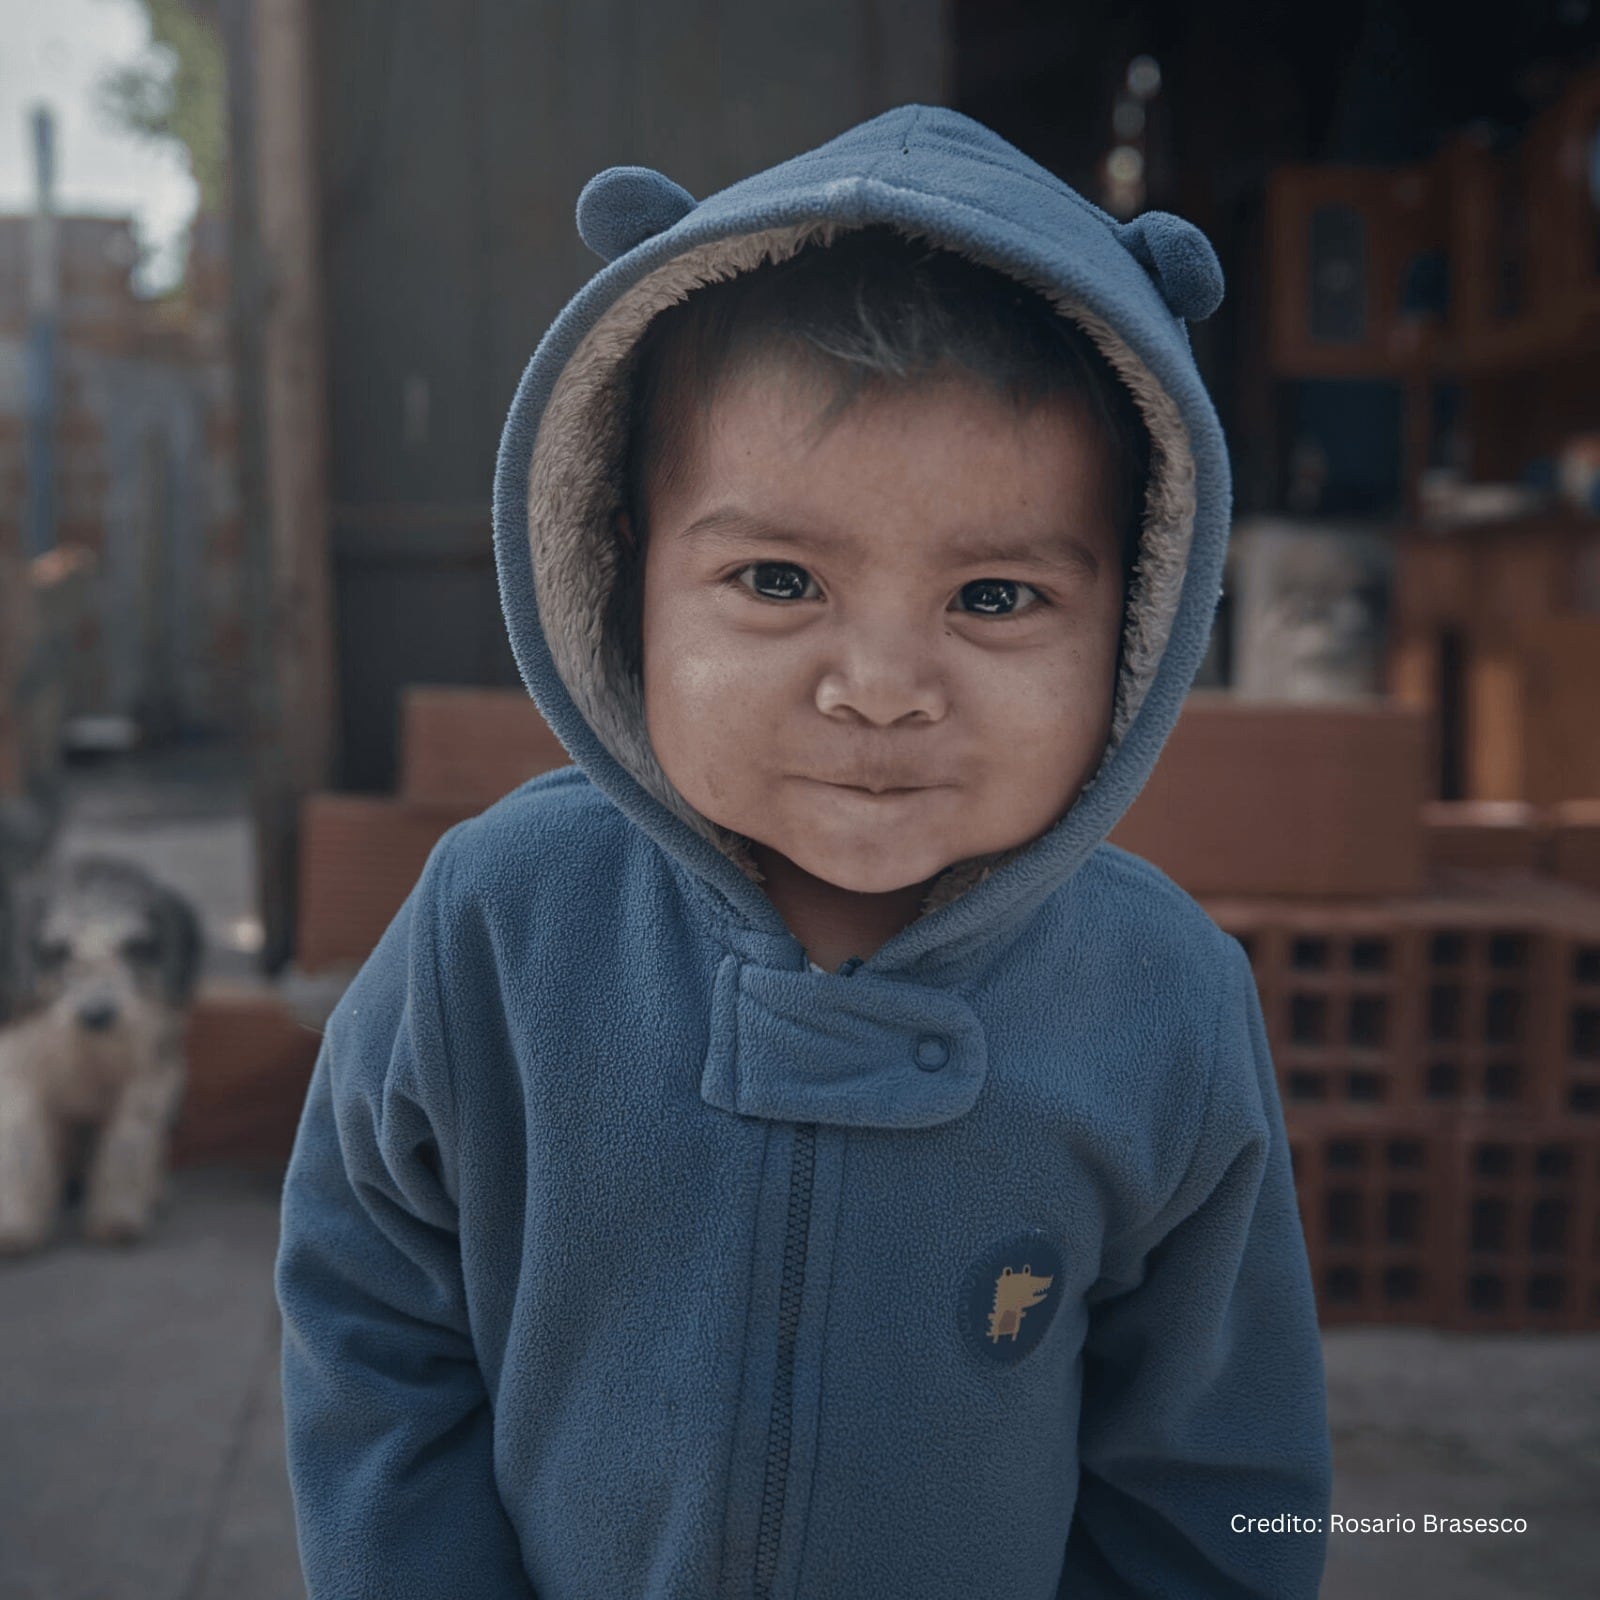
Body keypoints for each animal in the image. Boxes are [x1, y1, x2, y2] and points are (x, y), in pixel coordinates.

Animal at [0, 857, 206, 1254]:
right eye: (58, 949)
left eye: (135, 946)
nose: (97, 1015)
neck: (88, 1052)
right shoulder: (18, 1073)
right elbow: (21, 1147)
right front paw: (17, 1227)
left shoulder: (146, 1080)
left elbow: (126, 1148)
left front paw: (117, 1218)